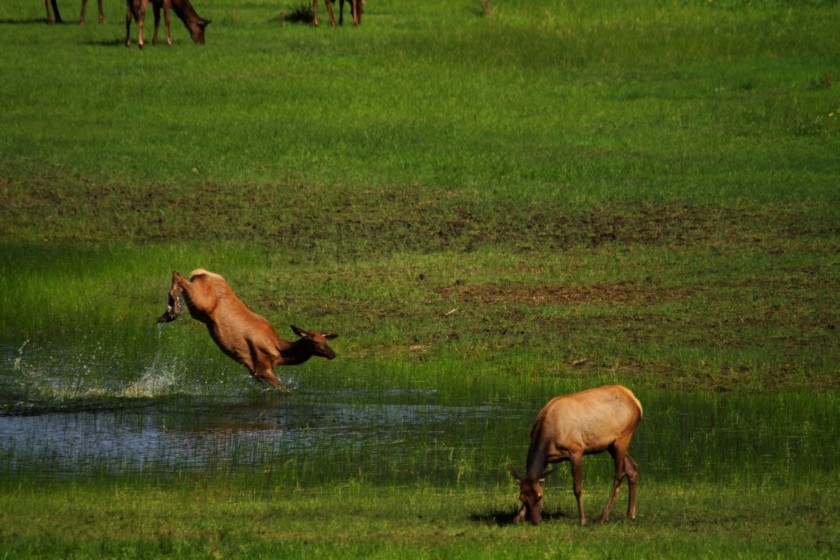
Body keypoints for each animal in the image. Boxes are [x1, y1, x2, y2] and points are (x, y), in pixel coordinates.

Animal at [156, 270, 340, 392]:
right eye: (314, 341)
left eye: (326, 340)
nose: (333, 354)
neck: (280, 353)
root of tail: (201, 272)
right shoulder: (262, 365)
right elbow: (286, 389)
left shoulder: (253, 371)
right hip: (201, 303)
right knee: (178, 275)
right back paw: (172, 312)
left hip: (199, 309)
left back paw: (167, 313)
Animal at [506, 384, 644, 524]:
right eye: (521, 498)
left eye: (540, 497)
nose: (536, 520)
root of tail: (637, 403)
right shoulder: (547, 457)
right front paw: (517, 517)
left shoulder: (576, 450)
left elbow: (577, 487)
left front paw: (582, 519)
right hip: (610, 445)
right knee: (632, 467)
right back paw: (630, 513)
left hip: (623, 437)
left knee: (619, 474)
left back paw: (602, 517)